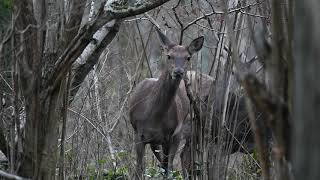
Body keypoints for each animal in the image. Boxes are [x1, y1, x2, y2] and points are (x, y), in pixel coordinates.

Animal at [129, 28, 204, 179]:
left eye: (188, 57)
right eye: (169, 56)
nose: (178, 72)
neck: (153, 118)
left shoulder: (172, 135)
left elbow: (168, 169)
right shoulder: (139, 133)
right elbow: (139, 170)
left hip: (179, 134)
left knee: (168, 165)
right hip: (155, 141)